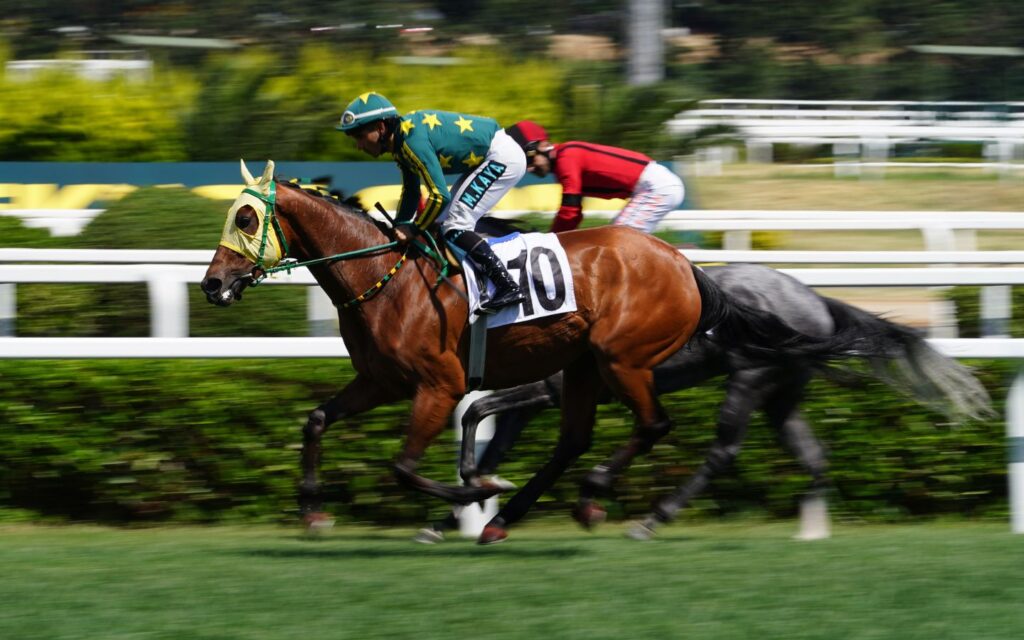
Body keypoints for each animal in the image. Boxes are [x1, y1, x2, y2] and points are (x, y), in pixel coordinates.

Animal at [201, 160, 868, 544]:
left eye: (245, 218)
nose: (212, 284)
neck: (385, 276)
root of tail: (685, 265)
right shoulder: (381, 381)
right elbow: (315, 420)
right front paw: (313, 510)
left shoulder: (439, 385)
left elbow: (407, 465)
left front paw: (471, 492)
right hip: (586, 369)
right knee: (576, 440)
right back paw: (507, 520)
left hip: (624, 360)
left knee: (657, 426)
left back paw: (600, 501)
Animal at [426, 263, 992, 541]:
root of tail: (815, 300)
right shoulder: (537, 401)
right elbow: (493, 440)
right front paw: (453, 514)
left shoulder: (550, 390)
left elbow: (478, 411)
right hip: (782, 393)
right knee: (811, 454)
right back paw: (810, 529)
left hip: (749, 379)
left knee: (723, 452)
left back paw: (652, 518)